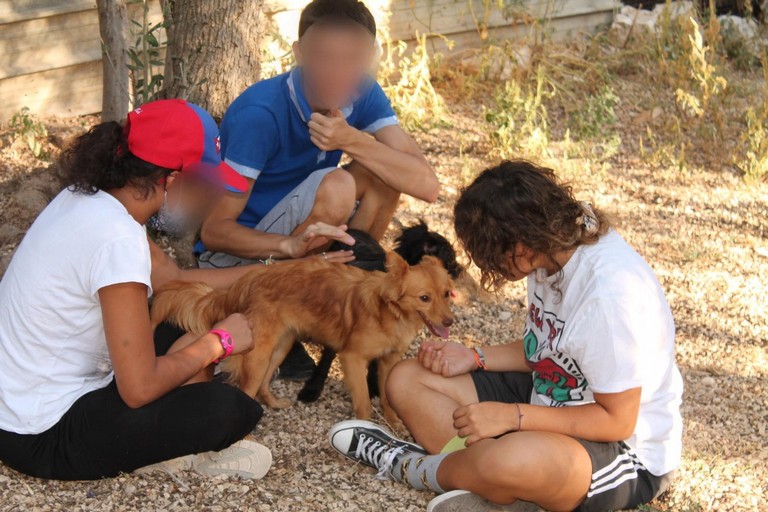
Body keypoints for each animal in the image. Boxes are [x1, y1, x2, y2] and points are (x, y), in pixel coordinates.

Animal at [150, 252, 452, 424]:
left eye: (447, 293)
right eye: (424, 298)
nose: (449, 322)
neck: (390, 311)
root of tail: (244, 282)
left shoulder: (389, 361)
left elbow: (388, 396)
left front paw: (394, 422)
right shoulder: (353, 359)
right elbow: (365, 402)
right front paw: (364, 428)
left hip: (280, 346)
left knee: (262, 385)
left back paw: (273, 404)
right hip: (259, 352)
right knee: (246, 390)